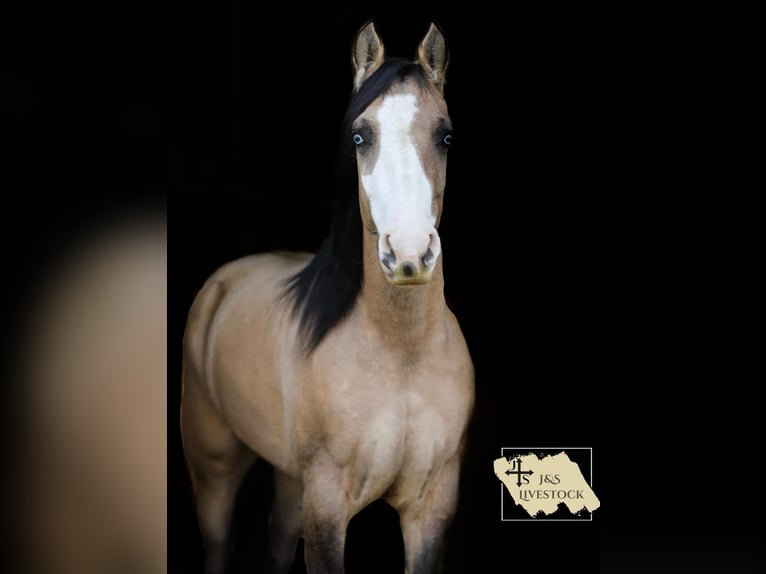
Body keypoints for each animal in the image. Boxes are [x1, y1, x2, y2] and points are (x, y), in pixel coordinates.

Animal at [183, 21, 476, 574]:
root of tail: (223, 282)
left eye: (445, 136)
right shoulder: (326, 506)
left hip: (288, 479)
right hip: (214, 467)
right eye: (360, 136)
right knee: (217, 543)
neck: (401, 354)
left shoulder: (432, 505)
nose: (409, 254)